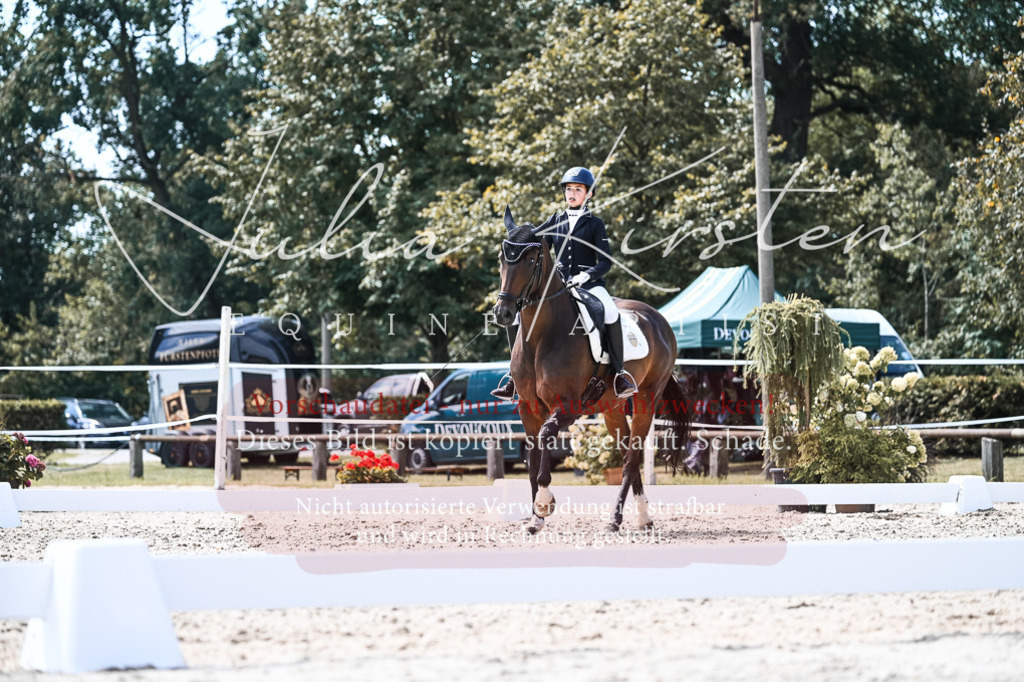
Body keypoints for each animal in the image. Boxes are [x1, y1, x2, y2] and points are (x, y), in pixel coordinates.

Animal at [492, 207, 691, 533]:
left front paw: (545, 502)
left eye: (531, 259)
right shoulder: (528, 407)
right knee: (625, 451)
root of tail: (658, 319)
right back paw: (643, 517)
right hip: (611, 408)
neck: (542, 336)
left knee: (632, 456)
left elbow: (546, 437)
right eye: (502, 257)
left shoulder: (568, 406)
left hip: (647, 398)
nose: (504, 312)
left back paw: (616, 518)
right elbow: (532, 458)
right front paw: (535, 518)